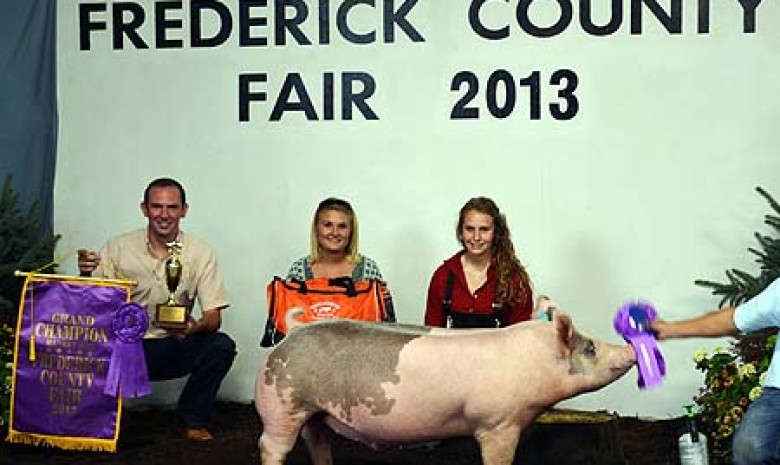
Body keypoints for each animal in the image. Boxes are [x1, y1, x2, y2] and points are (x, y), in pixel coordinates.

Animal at [258, 306, 636, 462]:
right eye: (590, 348)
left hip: (313, 413)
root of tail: (291, 333)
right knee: (271, 446)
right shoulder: (497, 423)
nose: (631, 348)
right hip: (281, 404)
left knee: (317, 442)